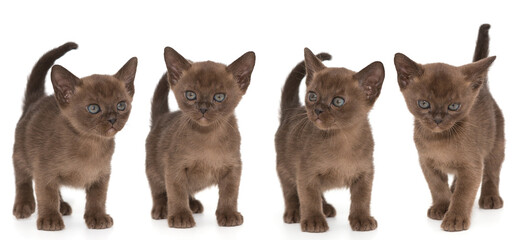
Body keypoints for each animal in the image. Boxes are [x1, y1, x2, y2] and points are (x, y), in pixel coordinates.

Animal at [13, 42, 138, 231]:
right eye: (93, 108)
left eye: (121, 105)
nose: (112, 119)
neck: (91, 144)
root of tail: (36, 101)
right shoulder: (44, 172)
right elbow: (46, 196)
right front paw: (50, 219)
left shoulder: (102, 175)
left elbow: (97, 198)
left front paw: (97, 217)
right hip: (21, 156)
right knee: (22, 180)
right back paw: (24, 205)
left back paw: (62, 206)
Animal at [145, 47, 256, 229]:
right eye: (190, 95)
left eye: (219, 97)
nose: (203, 108)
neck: (208, 138)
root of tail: (162, 116)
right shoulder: (175, 167)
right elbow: (177, 193)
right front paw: (180, 216)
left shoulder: (233, 168)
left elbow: (229, 194)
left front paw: (228, 214)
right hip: (153, 169)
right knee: (159, 190)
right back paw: (162, 209)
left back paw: (193, 204)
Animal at [276, 48, 382, 232]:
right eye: (312, 96)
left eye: (338, 101)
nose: (318, 110)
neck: (342, 139)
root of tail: (291, 110)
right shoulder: (307, 173)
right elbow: (309, 198)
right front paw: (313, 221)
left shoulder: (365, 173)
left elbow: (362, 199)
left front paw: (362, 219)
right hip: (284, 167)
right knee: (290, 191)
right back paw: (295, 212)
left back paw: (325, 208)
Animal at [392, 23, 504, 232]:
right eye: (424, 104)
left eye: (453, 106)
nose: (437, 119)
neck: (439, 141)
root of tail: (482, 88)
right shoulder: (427, 163)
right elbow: (437, 187)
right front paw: (442, 207)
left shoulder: (472, 165)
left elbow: (464, 195)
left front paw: (455, 218)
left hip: (496, 147)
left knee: (492, 173)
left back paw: (490, 198)